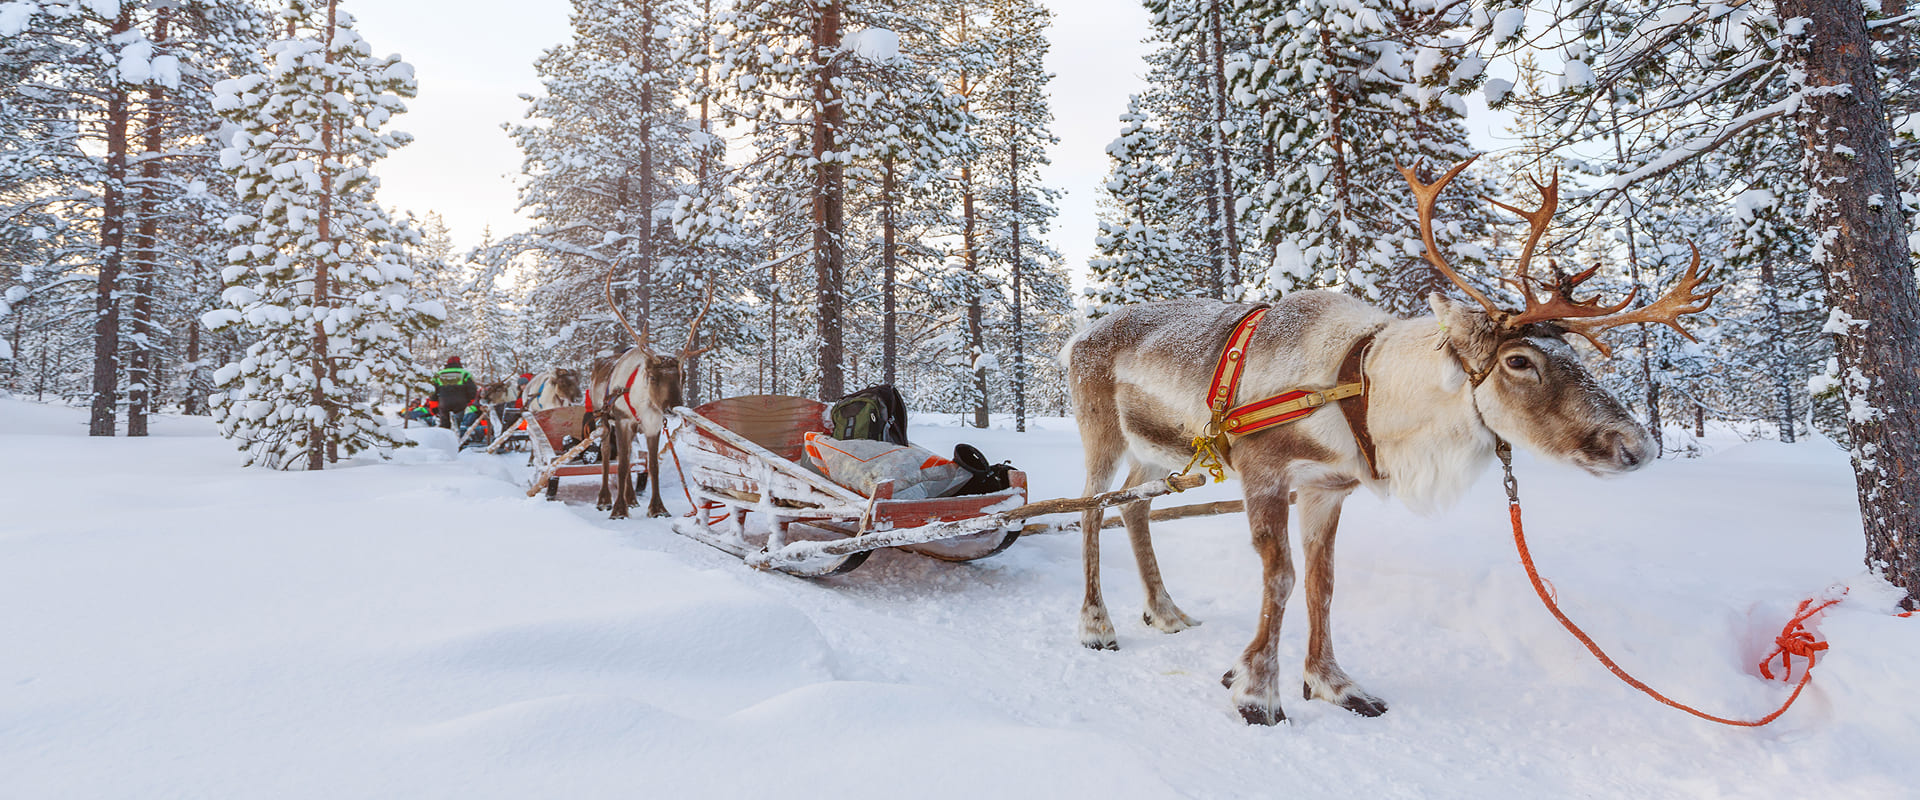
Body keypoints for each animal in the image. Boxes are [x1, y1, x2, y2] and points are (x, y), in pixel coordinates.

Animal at [589, 269, 711, 520]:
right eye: (653, 377)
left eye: (682, 376)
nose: (672, 407)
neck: (642, 403)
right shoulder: (623, 421)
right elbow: (621, 465)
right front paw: (618, 510)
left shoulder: (653, 425)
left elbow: (652, 465)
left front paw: (657, 508)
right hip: (604, 418)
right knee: (608, 454)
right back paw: (605, 499)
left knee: (628, 456)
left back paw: (632, 499)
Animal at [1062, 157, 1718, 725]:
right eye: (1519, 360)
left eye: (1577, 356)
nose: (1637, 446)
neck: (1362, 387)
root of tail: (1077, 337)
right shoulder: (1264, 472)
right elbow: (1281, 580)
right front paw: (1257, 693)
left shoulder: (1327, 488)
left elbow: (1323, 585)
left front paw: (1334, 684)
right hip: (1102, 434)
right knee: (1091, 509)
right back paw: (1097, 625)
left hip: (1155, 452)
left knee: (1135, 507)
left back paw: (1166, 612)